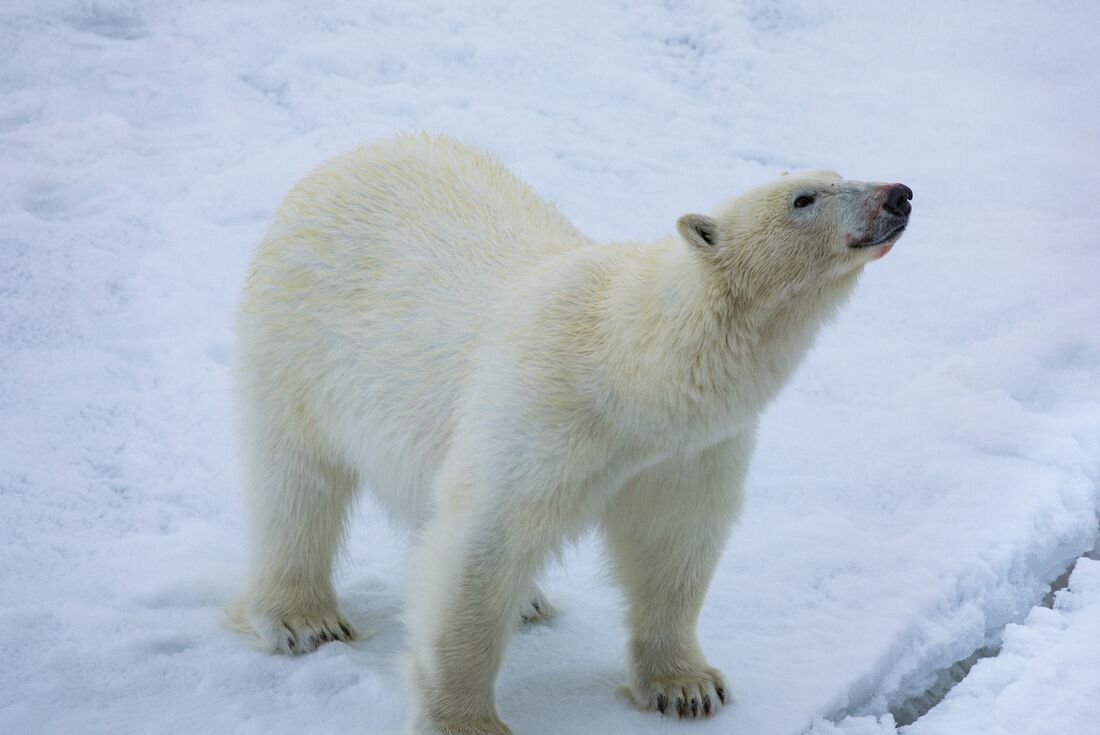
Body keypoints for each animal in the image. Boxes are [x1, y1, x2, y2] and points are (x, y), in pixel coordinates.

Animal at [231, 132, 912, 735]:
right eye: (804, 198)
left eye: (837, 171)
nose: (898, 193)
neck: (632, 374)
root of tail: (345, 159)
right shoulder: (542, 410)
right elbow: (484, 543)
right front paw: (465, 721)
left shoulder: (689, 453)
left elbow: (675, 544)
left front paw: (687, 687)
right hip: (300, 337)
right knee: (295, 482)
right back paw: (304, 619)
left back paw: (528, 600)